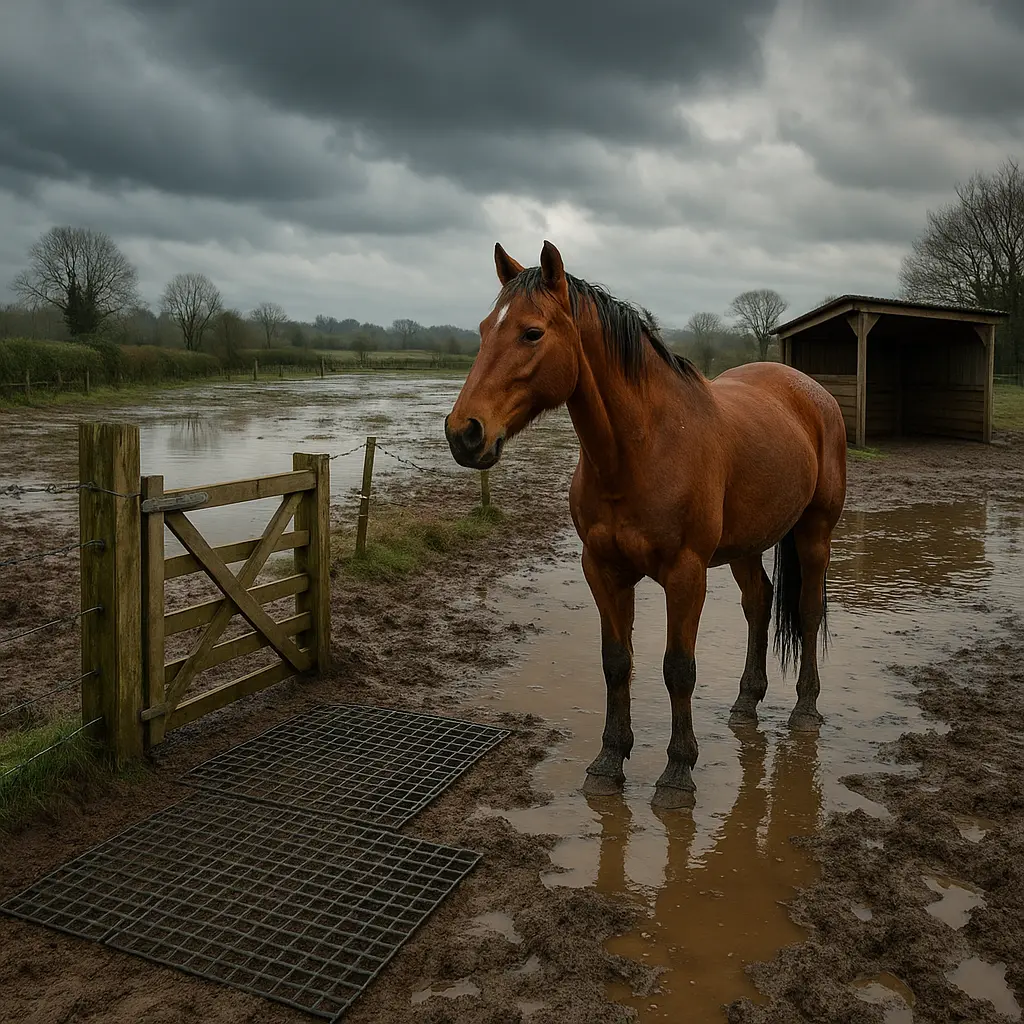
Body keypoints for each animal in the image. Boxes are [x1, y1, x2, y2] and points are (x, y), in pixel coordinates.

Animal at [444, 241, 847, 809]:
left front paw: (678, 772)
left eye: (531, 332)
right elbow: (617, 661)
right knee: (759, 602)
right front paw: (609, 761)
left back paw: (805, 710)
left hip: (815, 532)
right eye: (483, 329)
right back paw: (746, 701)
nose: (464, 433)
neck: (643, 446)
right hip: (746, 545)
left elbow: (678, 668)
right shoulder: (604, 568)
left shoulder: (685, 574)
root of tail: (813, 392)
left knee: (808, 612)